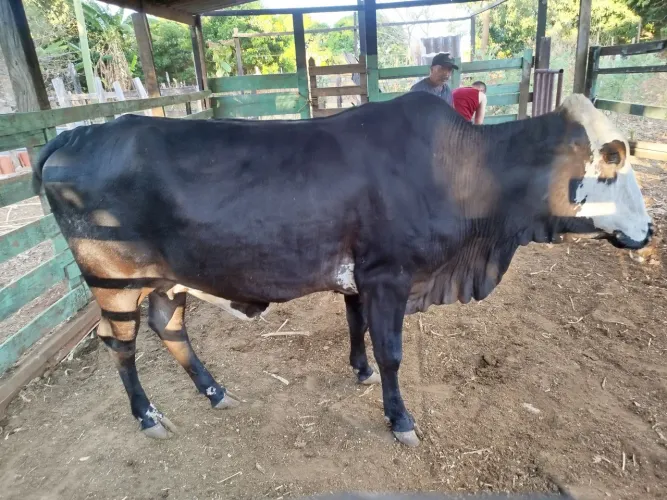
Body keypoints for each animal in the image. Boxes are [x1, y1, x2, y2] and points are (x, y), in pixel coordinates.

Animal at [32, 92, 652, 448]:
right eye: (607, 167)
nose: (649, 233)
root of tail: (78, 133)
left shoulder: (360, 280)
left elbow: (356, 328)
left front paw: (361, 371)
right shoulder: (389, 276)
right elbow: (392, 351)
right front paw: (400, 420)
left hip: (168, 278)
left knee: (170, 327)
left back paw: (214, 391)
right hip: (114, 282)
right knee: (122, 346)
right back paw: (147, 416)